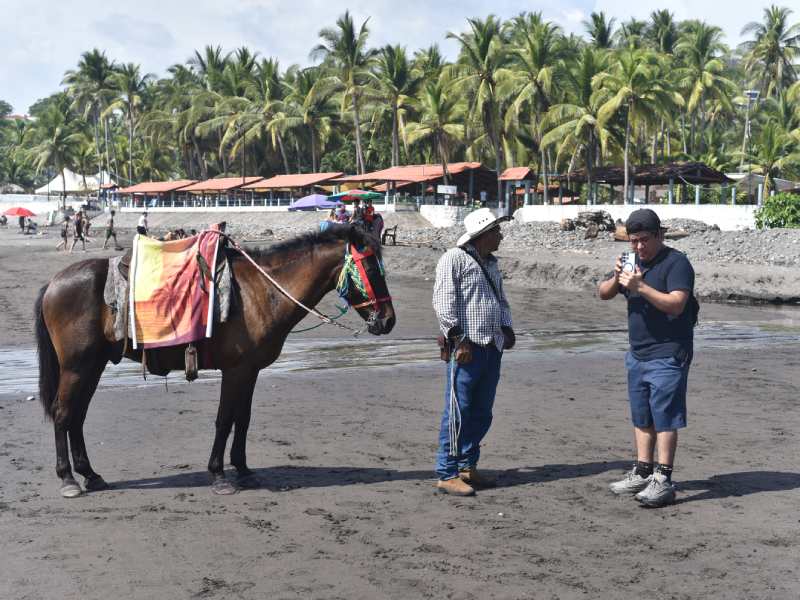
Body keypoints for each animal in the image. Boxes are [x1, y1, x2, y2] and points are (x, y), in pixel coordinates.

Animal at [35, 225, 396, 496]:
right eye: (371, 268)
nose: (388, 320)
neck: (261, 292)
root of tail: (53, 282)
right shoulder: (235, 370)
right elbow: (225, 420)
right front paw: (219, 475)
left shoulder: (250, 371)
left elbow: (243, 419)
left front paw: (244, 470)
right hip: (76, 366)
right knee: (64, 413)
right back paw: (68, 479)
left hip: (91, 366)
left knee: (77, 416)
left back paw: (90, 475)